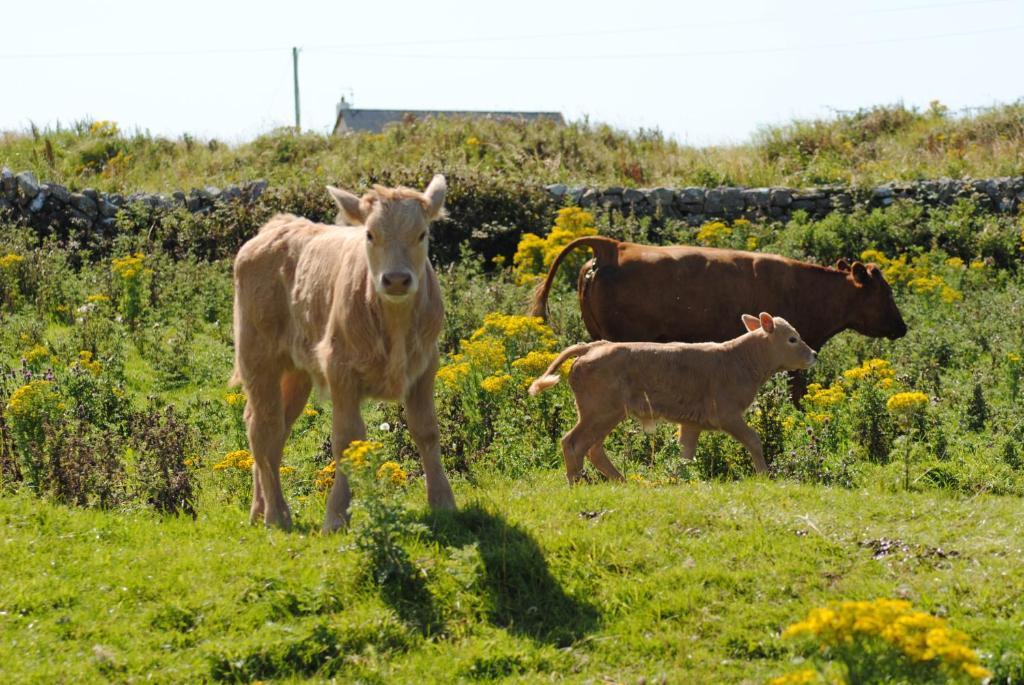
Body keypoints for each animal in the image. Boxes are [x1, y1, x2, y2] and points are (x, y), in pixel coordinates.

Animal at [234, 174, 458, 532]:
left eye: (422, 234)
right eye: (370, 234)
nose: (397, 279)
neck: (394, 322)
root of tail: (276, 226)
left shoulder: (426, 366)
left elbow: (426, 430)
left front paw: (443, 502)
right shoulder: (340, 370)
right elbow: (346, 439)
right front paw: (337, 515)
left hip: (296, 371)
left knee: (273, 429)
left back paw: (260, 509)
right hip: (257, 357)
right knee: (264, 429)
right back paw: (276, 516)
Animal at [528, 313, 815, 481]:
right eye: (792, 339)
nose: (813, 354)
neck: (739, 359)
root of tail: (593, 346)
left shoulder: (692, 423)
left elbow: (684, 454)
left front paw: (678, 480)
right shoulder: (727, 414)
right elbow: (754, 440)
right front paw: (765, 475)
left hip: (602, 413)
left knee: (593, 448)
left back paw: (620, 480)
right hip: (601, 411)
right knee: (574, 443)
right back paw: (578, 483)